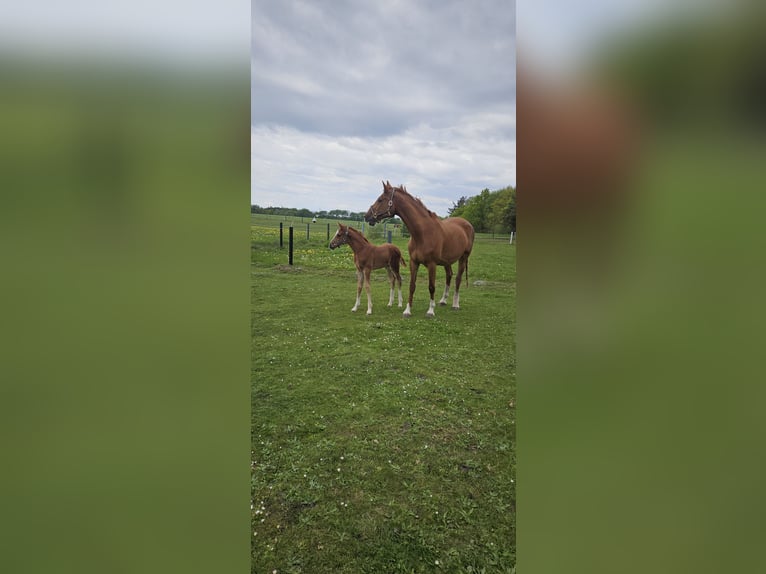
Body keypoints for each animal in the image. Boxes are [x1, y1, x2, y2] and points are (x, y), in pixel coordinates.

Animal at [364, 181, 475, 318]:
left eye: (380, 199)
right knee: (449, 275)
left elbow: (431, 286)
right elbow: (412, 285)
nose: (367, 216)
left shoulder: (432, 264)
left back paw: (455, 304)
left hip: (463, 258)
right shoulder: (414, 262)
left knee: (458, 279)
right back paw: (443, 300)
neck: (422, 233)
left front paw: (430, 311)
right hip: (447, 261)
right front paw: (407, 310)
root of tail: (467, 224)